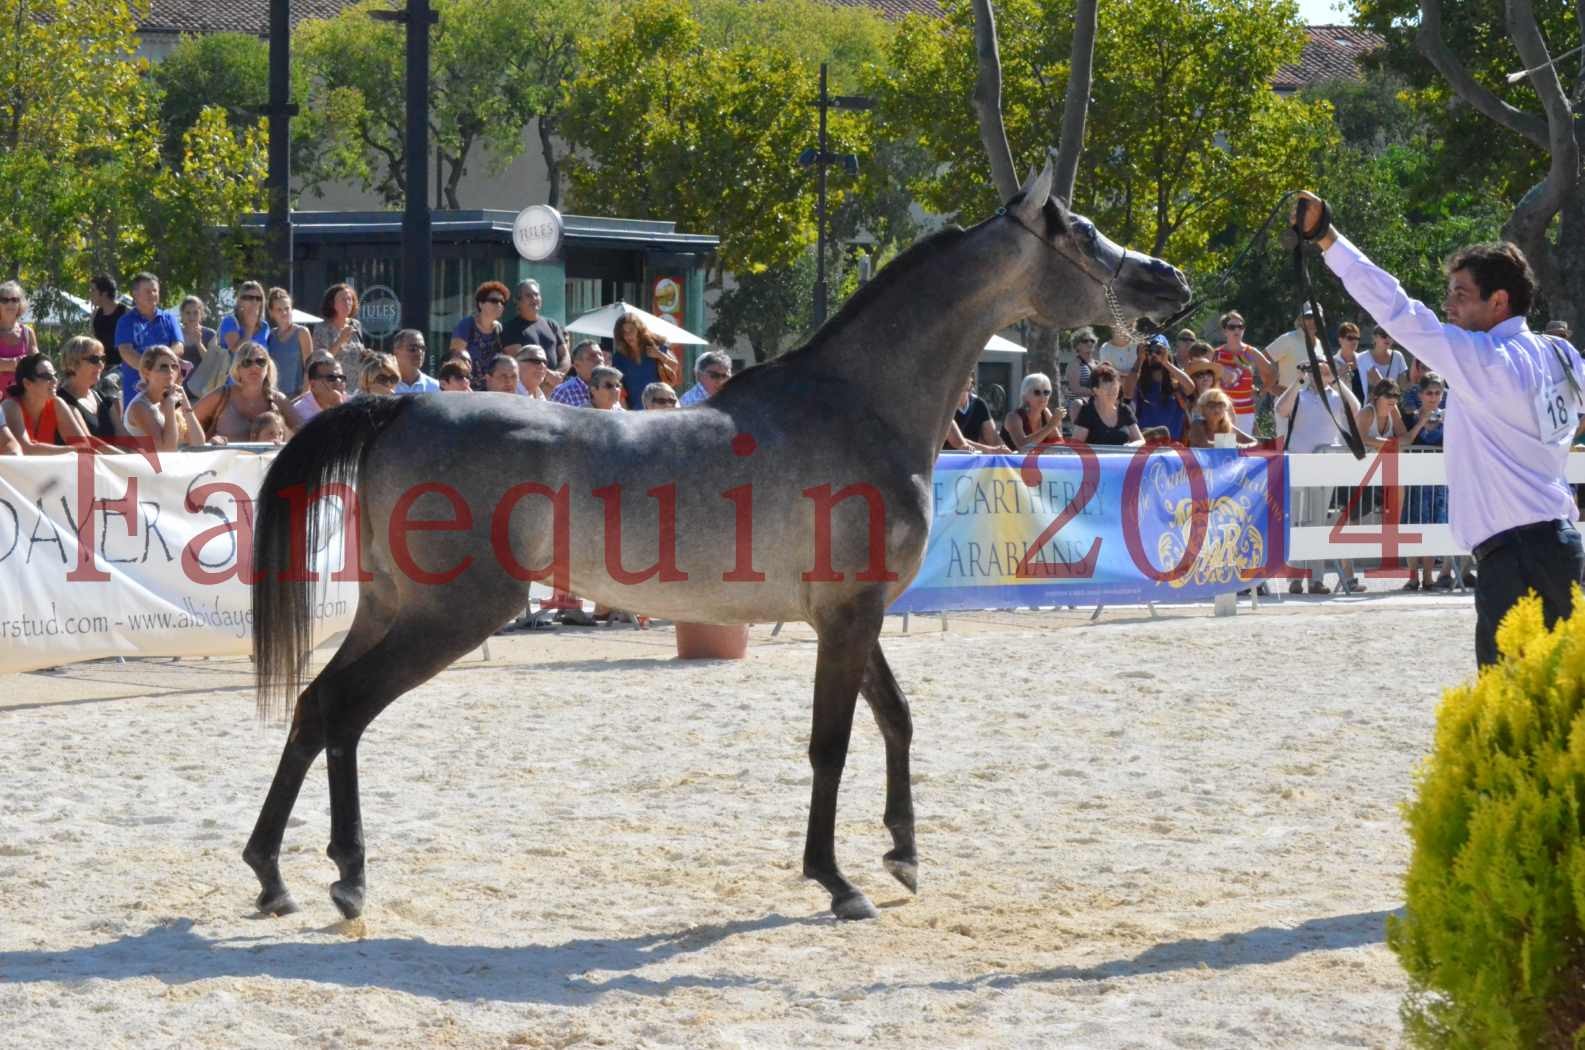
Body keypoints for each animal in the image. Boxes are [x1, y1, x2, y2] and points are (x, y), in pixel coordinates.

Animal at [247, 160, 1191, 926]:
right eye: (1079, 233)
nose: (1168, 279)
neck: (857, 405)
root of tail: (399, 405)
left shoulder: (851, 615)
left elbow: (894, 718)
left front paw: (903, 855)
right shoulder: (847, 616)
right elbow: (831, 742)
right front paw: (837, 881)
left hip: (388, 608)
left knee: (314, 706)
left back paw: (273, 875)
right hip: (455, 614)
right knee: (343, 710)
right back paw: (345, 876)